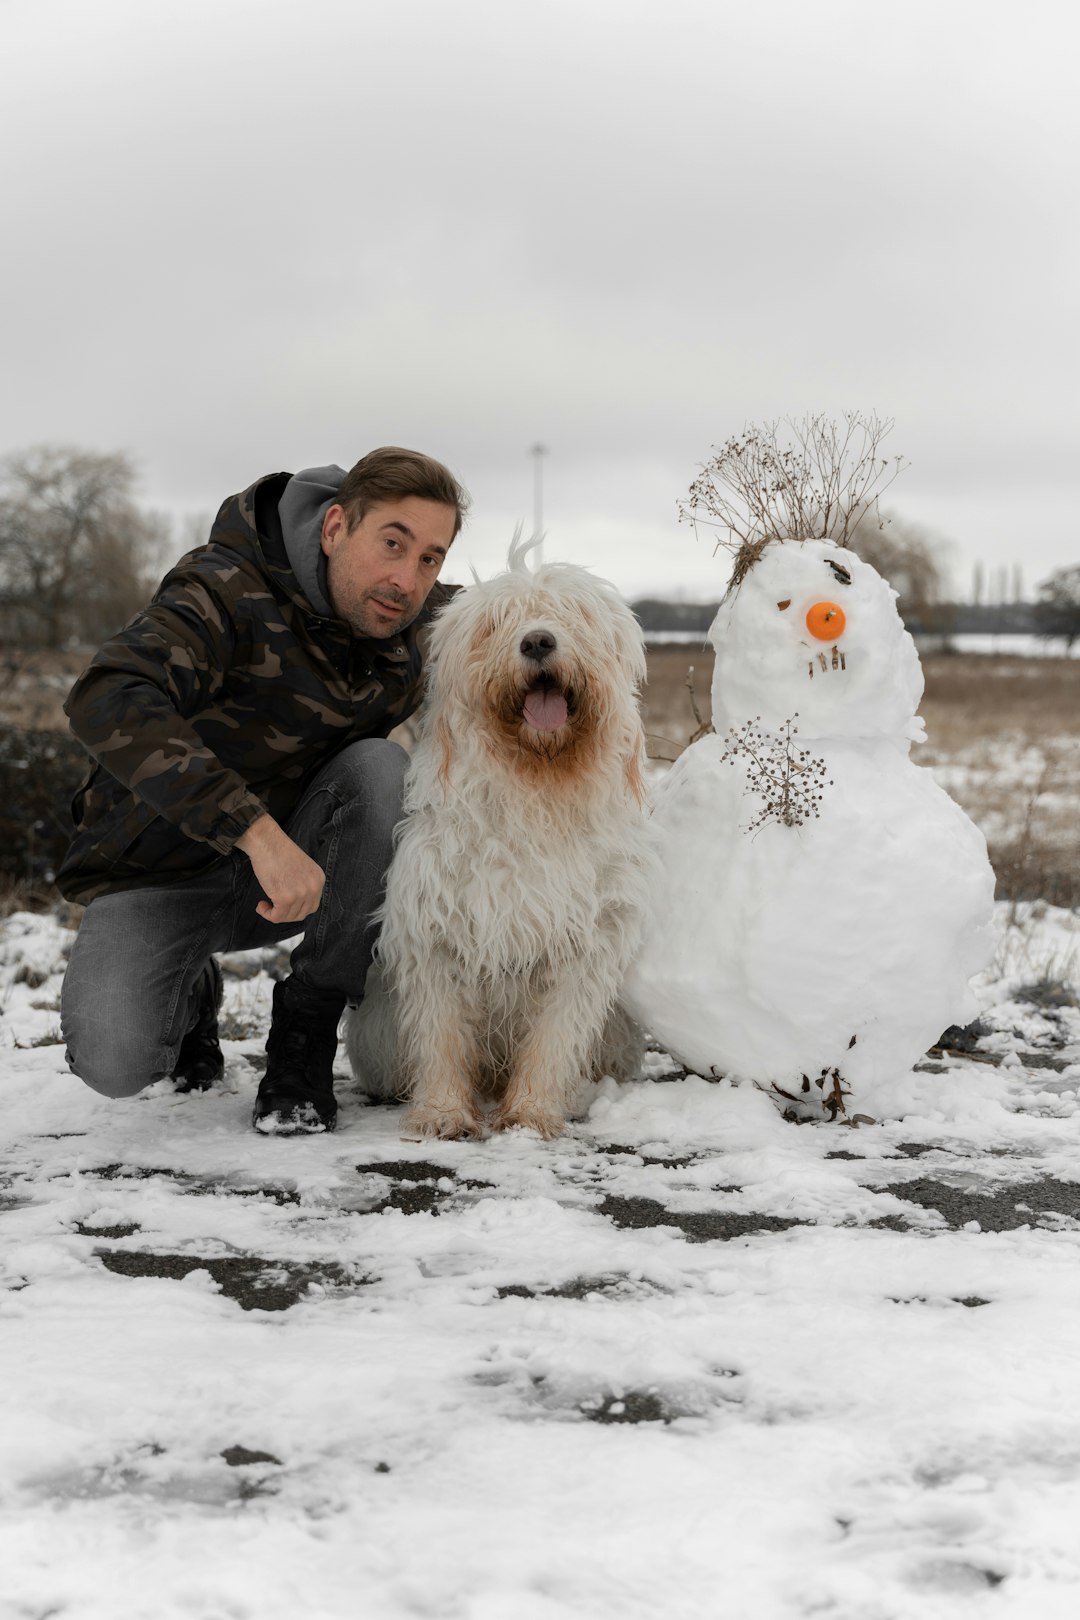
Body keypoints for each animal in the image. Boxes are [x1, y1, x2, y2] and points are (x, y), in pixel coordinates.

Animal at [346, 534, 650, 1140]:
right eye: (496, 623)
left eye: (572, 614)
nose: (537, 640)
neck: (534, 789)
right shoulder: (435, 931)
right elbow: (441, 1034)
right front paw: (442, 1113)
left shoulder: (584, 945)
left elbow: (553, 1039)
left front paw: (531, 1114)